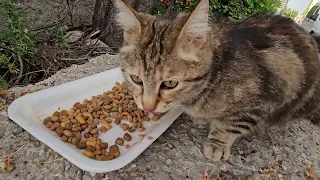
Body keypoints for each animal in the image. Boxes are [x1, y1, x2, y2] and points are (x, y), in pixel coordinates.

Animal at [114, 0, 320, 162]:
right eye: (136, 79)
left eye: (170, 84)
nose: (148, 108)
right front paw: (201, 118)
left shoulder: (261, 100)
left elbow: (233, 124)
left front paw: (218, 143)